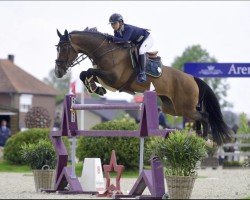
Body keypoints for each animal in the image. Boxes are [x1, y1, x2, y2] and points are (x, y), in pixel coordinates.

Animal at [54, 28, 230, 145]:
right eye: (57, 48)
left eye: (64, 48)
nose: (58, 71)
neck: (105, 51)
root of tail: (192, 78)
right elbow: (84, 73)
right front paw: (95, 87)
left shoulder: (113, 78)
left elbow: (89, 71)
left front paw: (95, 87)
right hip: (172, 108)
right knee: (198, 116)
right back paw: (198, 137)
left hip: (184, 107)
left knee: (205, 116)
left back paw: (206, 140)